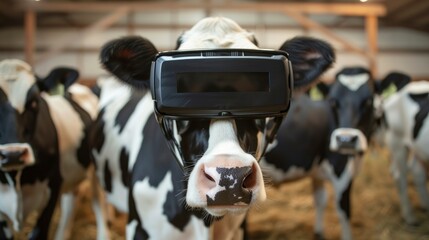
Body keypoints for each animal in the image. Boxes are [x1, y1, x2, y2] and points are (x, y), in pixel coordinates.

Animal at [378, 79, 428, 227]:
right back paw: (410, 217)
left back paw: (425, 206)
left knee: (417, 171)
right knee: (400, 176)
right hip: (397, 142)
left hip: (417, 145)